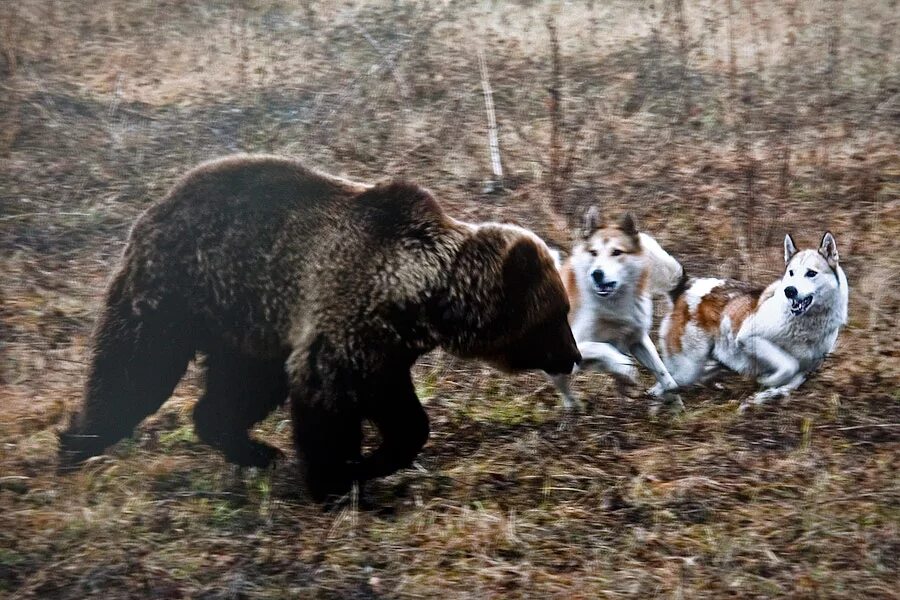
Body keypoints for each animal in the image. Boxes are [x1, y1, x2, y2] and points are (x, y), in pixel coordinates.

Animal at [58, 155, 576, 502]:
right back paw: (78, 444)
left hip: (249, 326)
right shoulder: (346, 319)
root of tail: (154, 206)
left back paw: (253, 449)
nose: (572, 356)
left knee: (238, 389)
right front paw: (337, 477)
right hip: (181, 292)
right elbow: (326, 401)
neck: (418, 295)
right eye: (555, 317)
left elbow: (404, 416)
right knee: (134, 371)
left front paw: (375, 461)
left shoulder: (386, 350)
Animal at [552, 207, 684, 412]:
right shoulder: (574, 347)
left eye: (616, 252)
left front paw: (675, 404)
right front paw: (626, 368)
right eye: (594, 252)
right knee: (566, 388)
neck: (613, 304)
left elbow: (664, 375)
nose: (597, 274)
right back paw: (574, 408)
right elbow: (604, 348)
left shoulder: (638, 339)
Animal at [656, 232, 848, 410]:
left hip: (703, 366)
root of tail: (685, 286)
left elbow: (786, 384)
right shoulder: (749, 337)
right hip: (688, 368)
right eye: (791, 273)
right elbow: (788, 364)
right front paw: (767, 380)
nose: (789, 291)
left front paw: (758, 398)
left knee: (666, 386)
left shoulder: (804, 372)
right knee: (664, 385)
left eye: (811, 273)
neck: (806, 325)